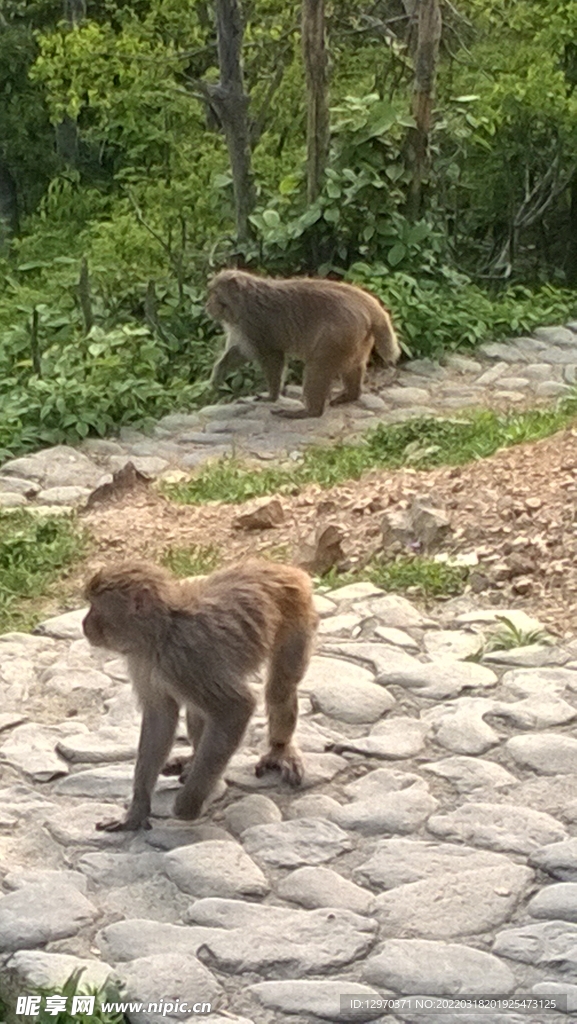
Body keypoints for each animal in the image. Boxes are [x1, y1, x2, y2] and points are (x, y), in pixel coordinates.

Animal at [81, 561, 317, 831]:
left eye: (95, 607)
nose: (84, 623)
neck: (161, 632)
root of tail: (282, 568)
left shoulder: (186, 660)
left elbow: (236, 708)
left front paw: (189, 805)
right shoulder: (141, 661)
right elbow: (160, 719)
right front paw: (136, 811)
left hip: (298, 614)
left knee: (279, 689)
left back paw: (279, 749)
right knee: (198, 712)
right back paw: (192, 759)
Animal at [208, 272, 401, 419]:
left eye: (215, 293)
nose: (208, 305)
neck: (244, 299)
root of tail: (369, 304)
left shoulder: (253, 322)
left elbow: (272, 356)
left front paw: (272, 396)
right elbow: (242, 353)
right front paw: (219, 372)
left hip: (339, 333)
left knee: (318, 367)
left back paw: (309, 412)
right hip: (357, 336)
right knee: (353, 364)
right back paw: (351, 395)